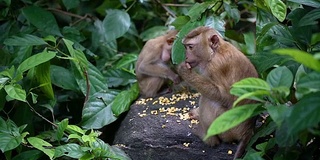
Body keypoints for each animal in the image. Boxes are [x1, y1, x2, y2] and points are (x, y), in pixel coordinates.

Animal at [176, 26, 258, 159]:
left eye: (190, 47)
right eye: (185, 47)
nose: (186, 57)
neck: (216, 52)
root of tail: (248, 132)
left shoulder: (216, 66)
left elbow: (224, 96)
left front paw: (184, 71)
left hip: (228, 128)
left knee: (208, 100)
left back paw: (208, 138)